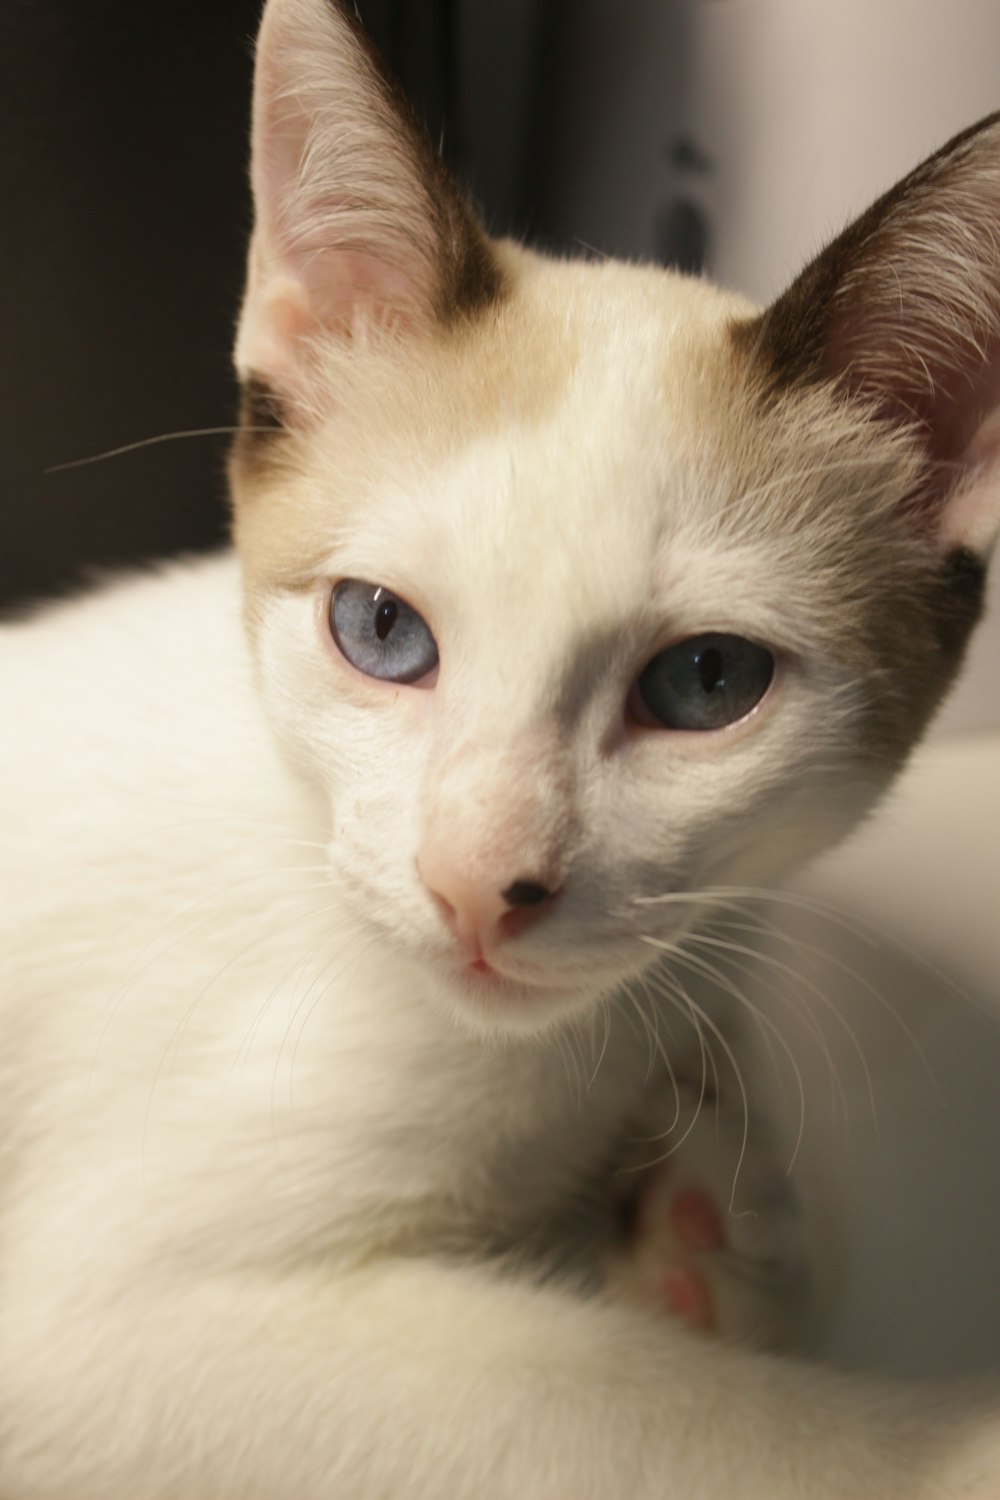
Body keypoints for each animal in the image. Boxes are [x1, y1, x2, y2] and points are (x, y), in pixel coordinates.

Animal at [1, 0, 1000, 1494]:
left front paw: (708, 1234)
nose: (478, 886)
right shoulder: (94, 1326)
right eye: (378, 630)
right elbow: (657, 1416)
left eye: (705, 683)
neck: (558, 1065)